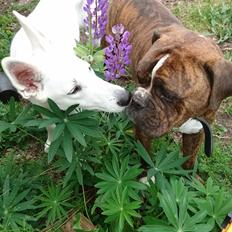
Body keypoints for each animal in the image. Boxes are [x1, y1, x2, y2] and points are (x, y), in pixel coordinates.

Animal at [0, 0, 130, 150]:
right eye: (74, 90)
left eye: (88, 68)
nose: (126, 97)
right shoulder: (41, 106)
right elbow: (50, 125)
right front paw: (50, 143)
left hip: (92, 22)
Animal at [105, 0, 232, 168]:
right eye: (139, 76)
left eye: (167, 95)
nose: (136, 99)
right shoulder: (142, 131)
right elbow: (146, 159)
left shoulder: (196, 132)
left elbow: (188, 162)